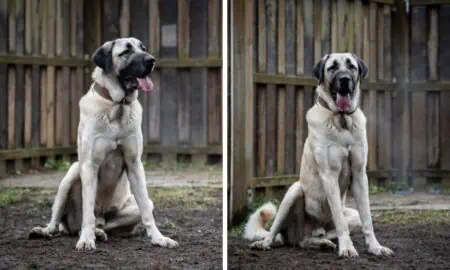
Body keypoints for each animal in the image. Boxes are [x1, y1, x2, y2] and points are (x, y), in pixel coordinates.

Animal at [27, 38, 179, 251]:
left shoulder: (134, 164)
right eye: (126, 52)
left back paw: (99, 232)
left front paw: (159, 238)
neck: (117, 107)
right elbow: (88, 209)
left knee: (108, 221)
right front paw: (86, 240)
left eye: (143, 48)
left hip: (133, 206)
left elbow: (147, 213)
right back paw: (48, 231)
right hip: (72, 174)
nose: (151, 60)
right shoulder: (89, 165)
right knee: (61, 222)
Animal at [246, 52, 394, 258]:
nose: (345, 80)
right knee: (275, 231)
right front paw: (347, 248)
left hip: (349, 217)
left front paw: (375, 247)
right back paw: (264, 243)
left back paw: (323, 242)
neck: (342, 120)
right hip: (294, 192)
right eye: (332, 67)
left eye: (351, 66)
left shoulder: (359, 175)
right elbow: (340, 220)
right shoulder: (329, 175)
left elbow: (367, 219)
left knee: (306, 240)